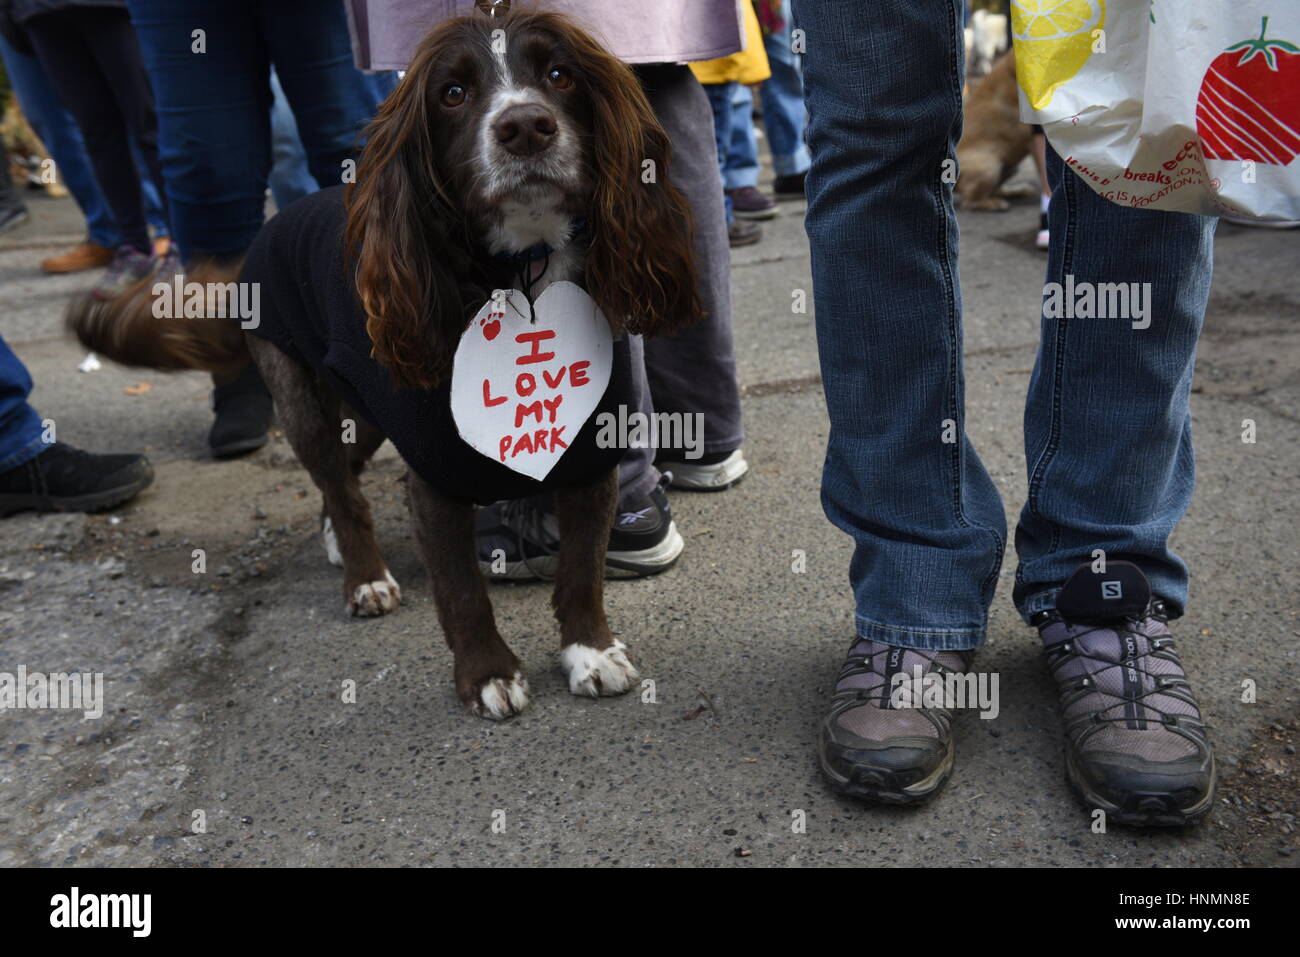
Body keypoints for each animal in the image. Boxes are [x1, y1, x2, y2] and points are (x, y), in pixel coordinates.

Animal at [71, 9, 702, 717]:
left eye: (561, 75)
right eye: (452, 93)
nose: (524, 127)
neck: (521, 269)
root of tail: (268, 229)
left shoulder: (589, 458)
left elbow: (583, 568)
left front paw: (590, 652)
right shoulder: (433, 475)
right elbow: (460, 588)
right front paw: (488, 675)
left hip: (366, 408)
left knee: (342, 478)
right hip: (301, 399)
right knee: (339, 488)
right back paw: (364, 577)